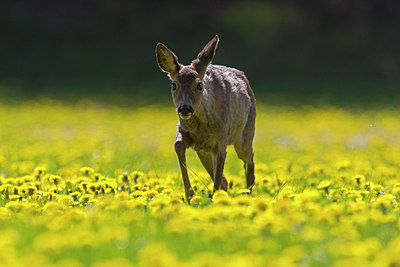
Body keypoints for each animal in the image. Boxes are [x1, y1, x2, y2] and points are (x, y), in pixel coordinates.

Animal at [155, 36, 255, 203]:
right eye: (173, 85)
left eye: (199, 85)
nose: (185, 108)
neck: (201, 127)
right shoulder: (185, 131)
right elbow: (178, 146)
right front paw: (190, 195)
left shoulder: (222, 137)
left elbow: (219, 168)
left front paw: (213, 198)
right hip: (203, 152)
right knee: (225, 179)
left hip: (246, 132)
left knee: (249, 159)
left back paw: (248, 193)